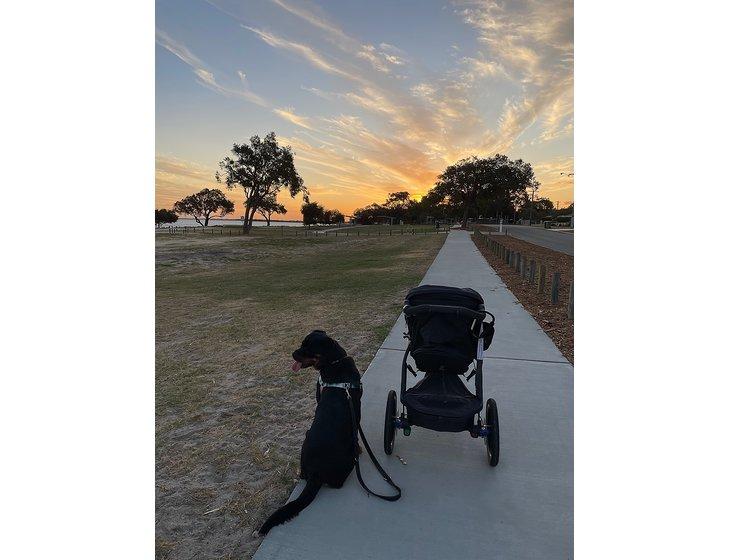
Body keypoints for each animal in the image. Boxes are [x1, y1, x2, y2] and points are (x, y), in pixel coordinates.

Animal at [258, 330, 362, 536]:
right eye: (301, 344)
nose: (292, 354)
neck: (334, 362)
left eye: (309, 348)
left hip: (306, 437)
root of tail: (315, 472)